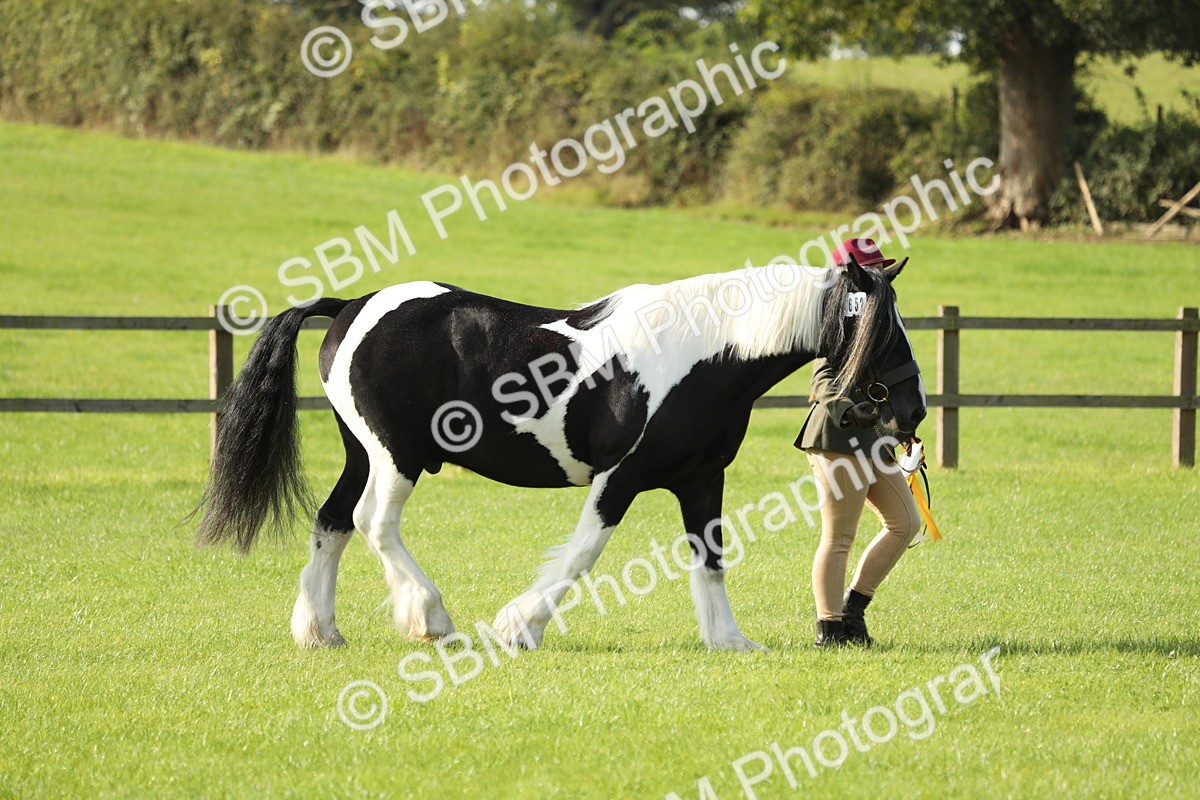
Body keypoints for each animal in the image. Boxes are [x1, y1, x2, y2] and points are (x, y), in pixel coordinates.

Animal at [195, 254, 926, 651]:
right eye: (883, 327)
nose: (914, 413)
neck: (703, 355)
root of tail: (351, 305)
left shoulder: (699, 480)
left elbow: (711, 556)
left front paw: (729, 640)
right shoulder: (619, 478)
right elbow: (582, 554)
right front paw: (520, 627)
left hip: (363, 453)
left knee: (333, 522)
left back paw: (320, 630)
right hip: (396, 457)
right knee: (375, 523)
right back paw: (431, 618)